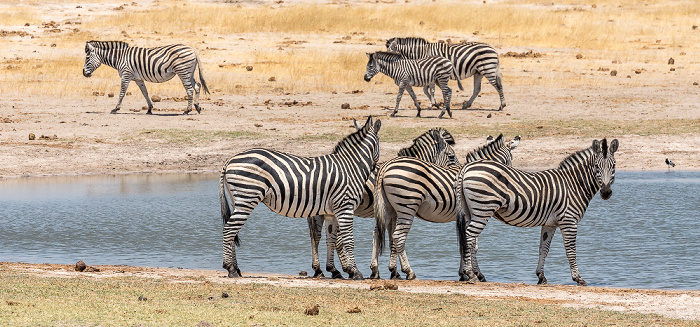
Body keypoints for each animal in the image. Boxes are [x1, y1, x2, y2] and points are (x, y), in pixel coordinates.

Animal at [219, 116, 382, 280]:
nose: (376, 169)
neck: (350, 167)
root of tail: (230, 159)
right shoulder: (345, 207)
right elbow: (348, 240)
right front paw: (355, 271)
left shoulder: (331, 212)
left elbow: (331, 240)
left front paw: (334, 270)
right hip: (247, 198)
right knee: (229, 229)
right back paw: (230, 268)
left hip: (238, 200)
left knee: (233, 231)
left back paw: (236, 268)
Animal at [306, 128, 460, 280]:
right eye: (451, 156)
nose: (458, 172)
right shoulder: (396, 211)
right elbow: (393, 238)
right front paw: (395, 271)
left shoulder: (391, 213)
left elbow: (389, 237)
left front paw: (389, 270)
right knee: (334, 238)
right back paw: (342, 270)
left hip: (321, 209)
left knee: (316, 236)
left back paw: (320, 269)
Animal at [372, 133, 520, 280]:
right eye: (511, 159)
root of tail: (386, 165)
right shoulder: (474, 213)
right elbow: (472, 244)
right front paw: (476, 273)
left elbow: (464, 242)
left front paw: (463, 273)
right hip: (407, 205)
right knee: (398, 236)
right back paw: (409, 272)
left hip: (387, 208)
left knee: (377, 232)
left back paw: (375, 270)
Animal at [454, 138, 616, 288]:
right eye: (596, 166)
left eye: (613, 166)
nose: (606, 192)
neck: (574, 185)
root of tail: (466, 167)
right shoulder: (569, 221)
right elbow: (570, 250)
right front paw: (578, 278)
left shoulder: (550, 224)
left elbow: (544, 249)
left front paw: (541, 276)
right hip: (483, 209)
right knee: (468, 237)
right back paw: (470, 274)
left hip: (470, 212)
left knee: (469, 239)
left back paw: (474, 274)